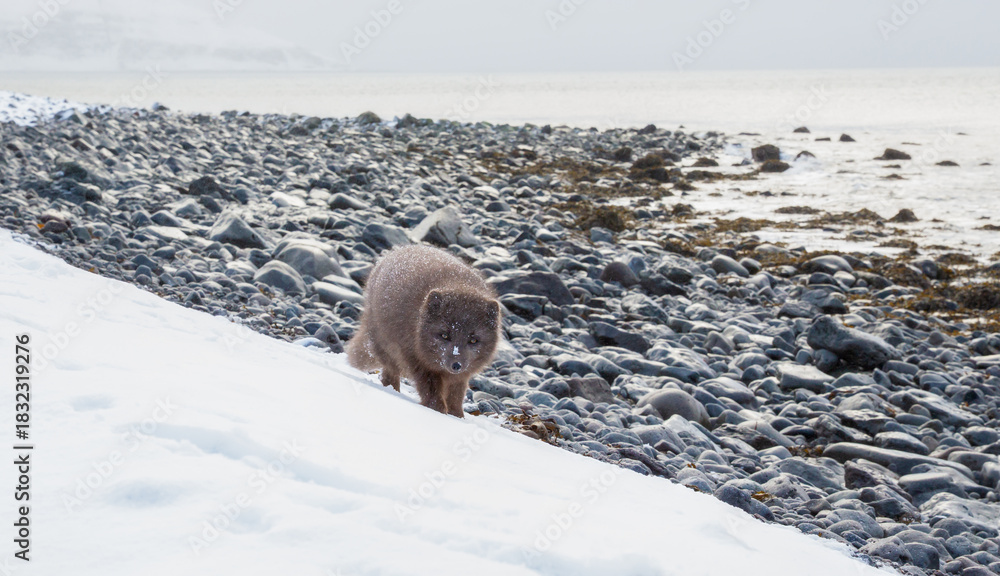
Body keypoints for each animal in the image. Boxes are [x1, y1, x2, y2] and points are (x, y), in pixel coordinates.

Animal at [347, 245, 502, 417]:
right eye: (444, 335)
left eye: (473, 340)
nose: (456, 365)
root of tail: (401, 248)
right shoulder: (415, 358)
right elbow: (430, 388)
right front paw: (437, 410)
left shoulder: (461, 375)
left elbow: (456, 393)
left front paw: (457, 416)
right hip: (384, 343)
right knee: (390, 371)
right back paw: (393, 391)